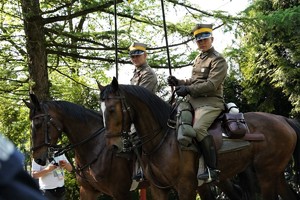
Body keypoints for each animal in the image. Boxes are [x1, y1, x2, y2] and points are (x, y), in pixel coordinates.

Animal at [99, 77, 300, 200]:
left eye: (111, 109)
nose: (113, 146)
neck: (163, 140)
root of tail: (282, 119)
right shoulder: (159, 189)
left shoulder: (186, 186)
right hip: (274, 174)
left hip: (266, 174)